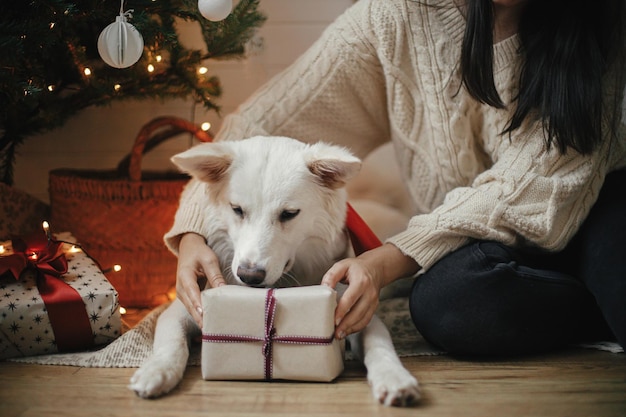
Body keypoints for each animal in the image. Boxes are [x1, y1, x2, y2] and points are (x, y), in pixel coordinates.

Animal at [128, 136, 420, 406]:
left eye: (289, 214)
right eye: (237, 210)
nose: (249, 275)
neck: (279, 285)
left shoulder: (359, 310)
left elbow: (379, 345)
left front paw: (394, 377)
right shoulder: (185, 306)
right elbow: (172, 340)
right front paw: (157, 370)